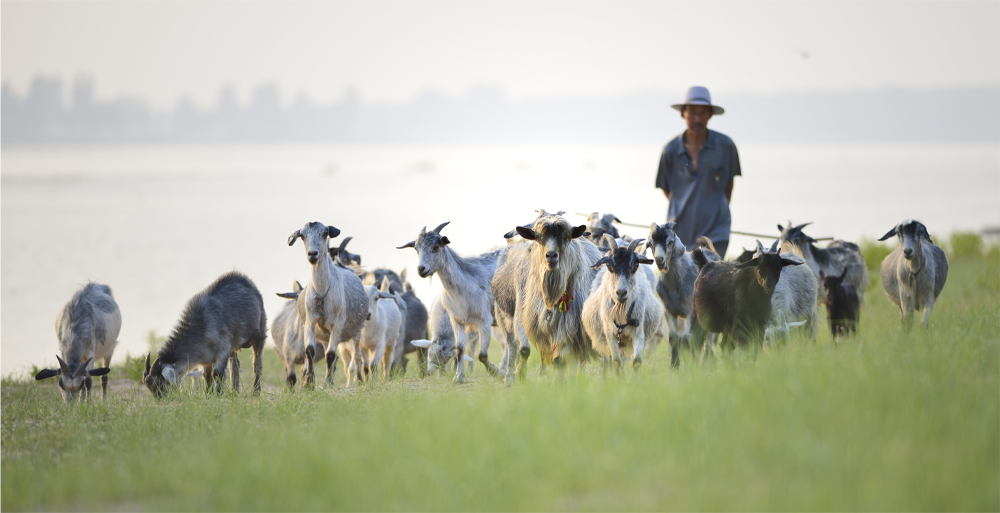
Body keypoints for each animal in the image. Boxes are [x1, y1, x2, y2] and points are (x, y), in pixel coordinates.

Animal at [288, 222, 369, 386]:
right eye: (302, 236)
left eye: (325, 233)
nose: (312, 254)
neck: (322, 293)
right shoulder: (310, 322)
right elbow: (310, 351)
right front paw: (309, 383)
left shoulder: (338, 324)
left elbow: (331, 355)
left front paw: (326, 384)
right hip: (325, 335)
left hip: (356, 331)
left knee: (356, 356)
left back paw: (359, 380)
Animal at [397, 221, 506, 384]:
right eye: (416, 249)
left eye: (436, 247)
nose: (421, 269)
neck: (466, 282)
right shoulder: (457, 320)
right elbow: (459, 349)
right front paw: (458, 377)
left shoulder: (484, 321)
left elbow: (482, 355)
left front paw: (495, 371)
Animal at [582, 239, 661, 371]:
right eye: (609, 266)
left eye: (635, 266)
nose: (621, 292)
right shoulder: (610, 334)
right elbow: (616, 362)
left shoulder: (638, 333)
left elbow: (636, 361)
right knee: (606, 360)